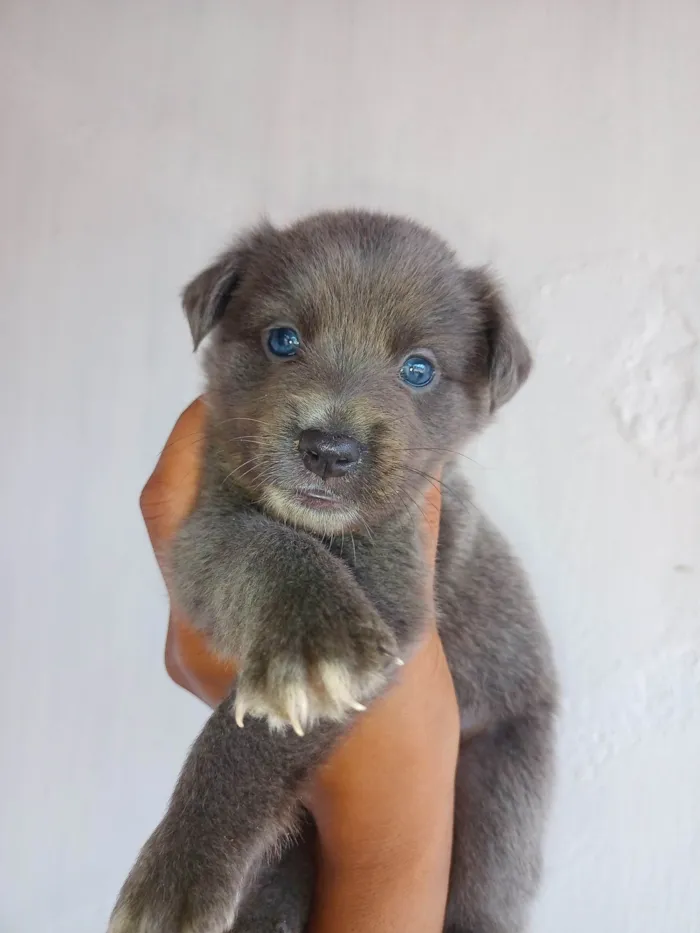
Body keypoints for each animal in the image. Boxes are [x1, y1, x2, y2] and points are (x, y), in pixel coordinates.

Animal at [109, 211, 556, 932]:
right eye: (282, 340)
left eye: (419, 369)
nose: (329, 448)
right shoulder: (207, 522)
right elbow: (257, 546)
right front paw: (315, 634)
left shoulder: (402, 574)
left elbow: (249, 738)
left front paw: (176, 876)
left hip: (507, 780)